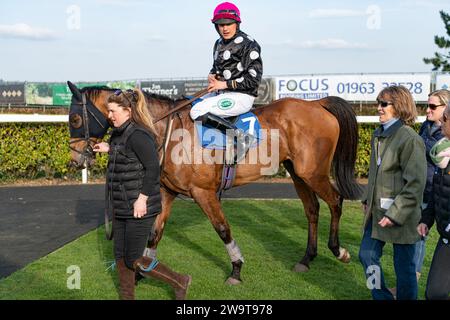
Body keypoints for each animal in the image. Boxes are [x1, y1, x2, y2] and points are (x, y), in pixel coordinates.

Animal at [67, 81, 362, 284]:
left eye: (75, 118)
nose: (75, 158)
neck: (169, 131)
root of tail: (318, 103)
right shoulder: (166, 191)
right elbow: (154, 233)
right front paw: (142, 271)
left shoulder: (203, 192)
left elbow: (222, 229)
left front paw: (236, 269)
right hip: (298, 173)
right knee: (312, 209)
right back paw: (306, 258)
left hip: (313, 172)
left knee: (335, 201)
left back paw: (338, 250)